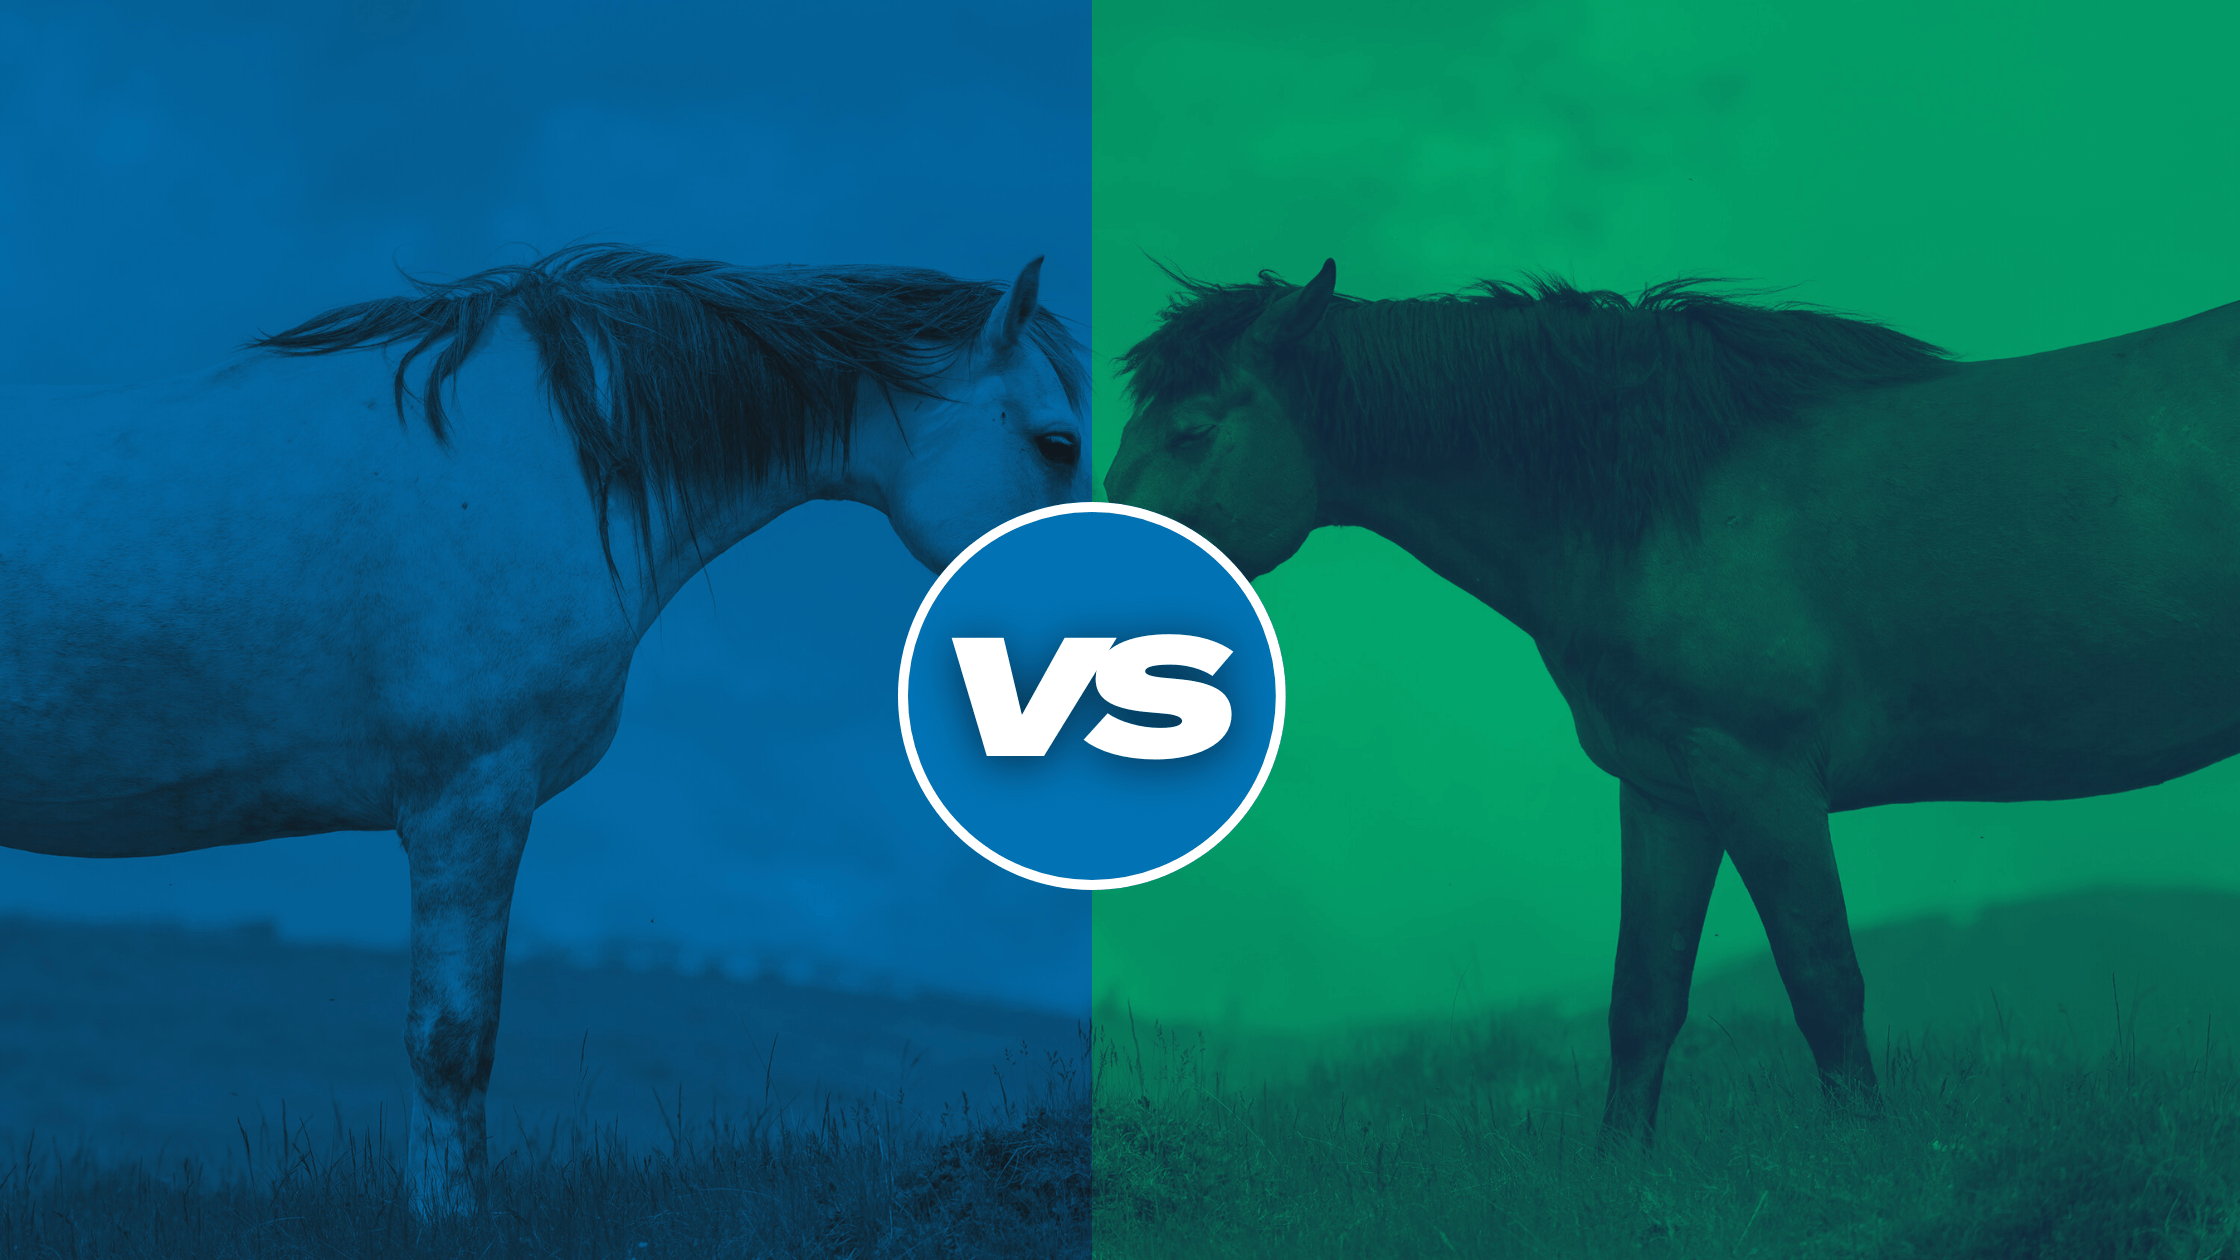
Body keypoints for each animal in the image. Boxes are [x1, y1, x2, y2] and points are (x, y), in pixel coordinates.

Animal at [1103, 257, 2240, 1140]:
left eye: (1193, 432)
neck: (1656, 500)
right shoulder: (1667, 795)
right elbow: (1641, 1001)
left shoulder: (1764, 783)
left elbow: (1824, 982)